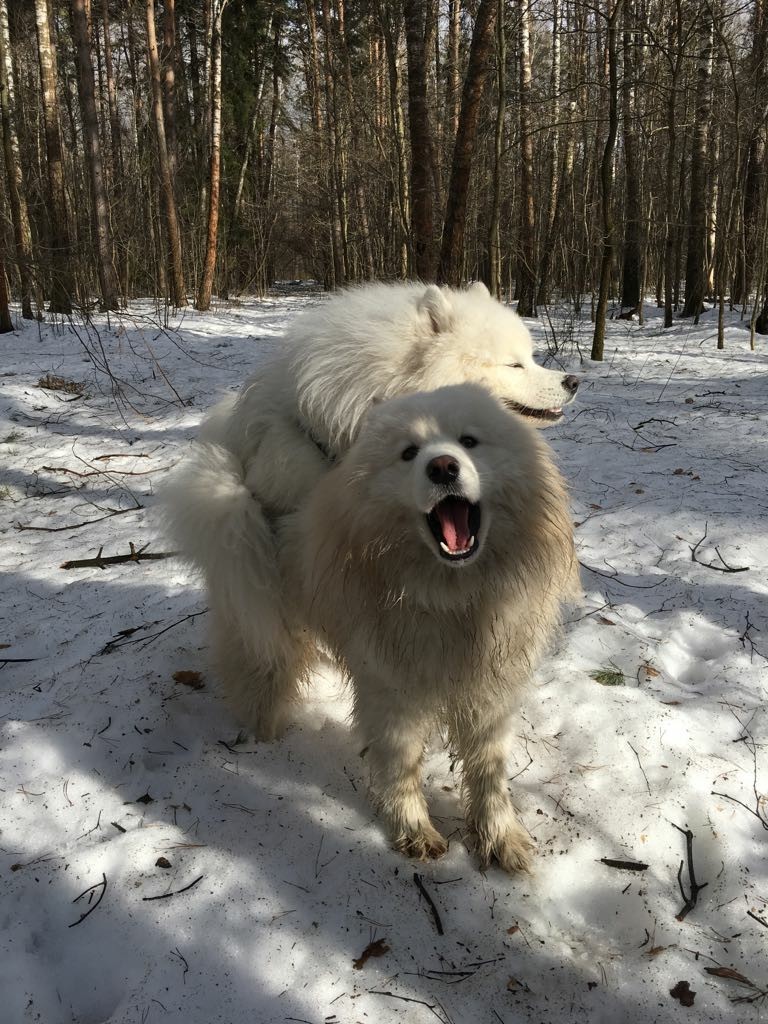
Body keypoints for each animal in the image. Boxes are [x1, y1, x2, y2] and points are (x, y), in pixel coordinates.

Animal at [166, 385, 577, 872]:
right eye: (409, 453)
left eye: (469, 441)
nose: (443, 466)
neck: (451, 597)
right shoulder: (391, 694)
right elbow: (401, 768)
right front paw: (413, 832)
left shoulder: (489, 691)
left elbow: (488, 774)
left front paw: (499, 838)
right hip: (264, 627)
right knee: (259, 681)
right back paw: (262, 742)